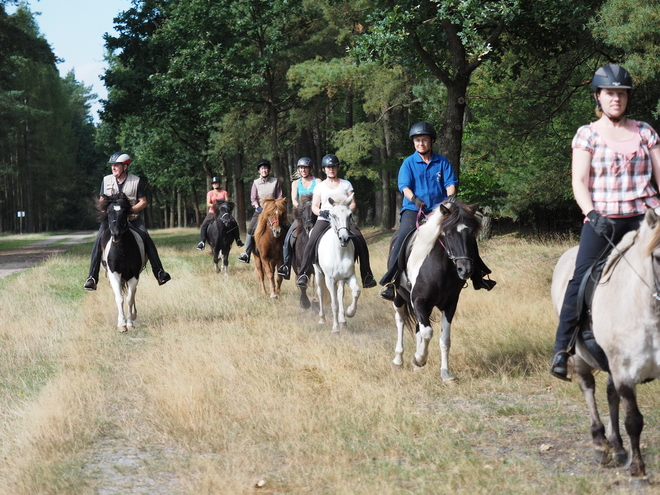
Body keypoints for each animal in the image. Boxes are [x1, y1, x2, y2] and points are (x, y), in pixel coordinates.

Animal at [98, 194, 147, 334]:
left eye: (124, 212)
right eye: (109, 212)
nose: (116, 235)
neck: (122, 250)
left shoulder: (134, 275)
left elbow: (129, 298)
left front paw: (129, 323)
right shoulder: (114, 274)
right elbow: (119, 298)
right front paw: (121, 325)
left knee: (133, 294)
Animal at [314, 194, 360, 334]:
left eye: (350, 215)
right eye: (333, 215)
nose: (344, 238)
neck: (339, 252)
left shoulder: (349, 276)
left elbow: (356, 291)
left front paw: (350, 312)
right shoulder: (330, 279)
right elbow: (334, 304)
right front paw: (335, 329)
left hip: (341, 279)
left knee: (340, 294)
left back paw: (343, 321)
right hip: (318, 273)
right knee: (320, 292)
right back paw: (322, 319)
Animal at [392, 202, 480, 384]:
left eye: (471, 234)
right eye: (449, 235)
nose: (465, 269)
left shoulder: (450, 304)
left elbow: (444, 339)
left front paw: (445, 374)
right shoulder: (418, 300)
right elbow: (428, 332)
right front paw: (419, 358)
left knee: (418, 327)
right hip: (399, 297)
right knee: (400, 320)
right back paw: (398, 360)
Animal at [552, 207, 660, 482]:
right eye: (657, 257)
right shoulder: (624, 371)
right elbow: (634, 421)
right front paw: (638, 470)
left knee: (610, 394)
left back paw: (617, 447)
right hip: (580, 357)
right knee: (588, 388)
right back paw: (600, 445)